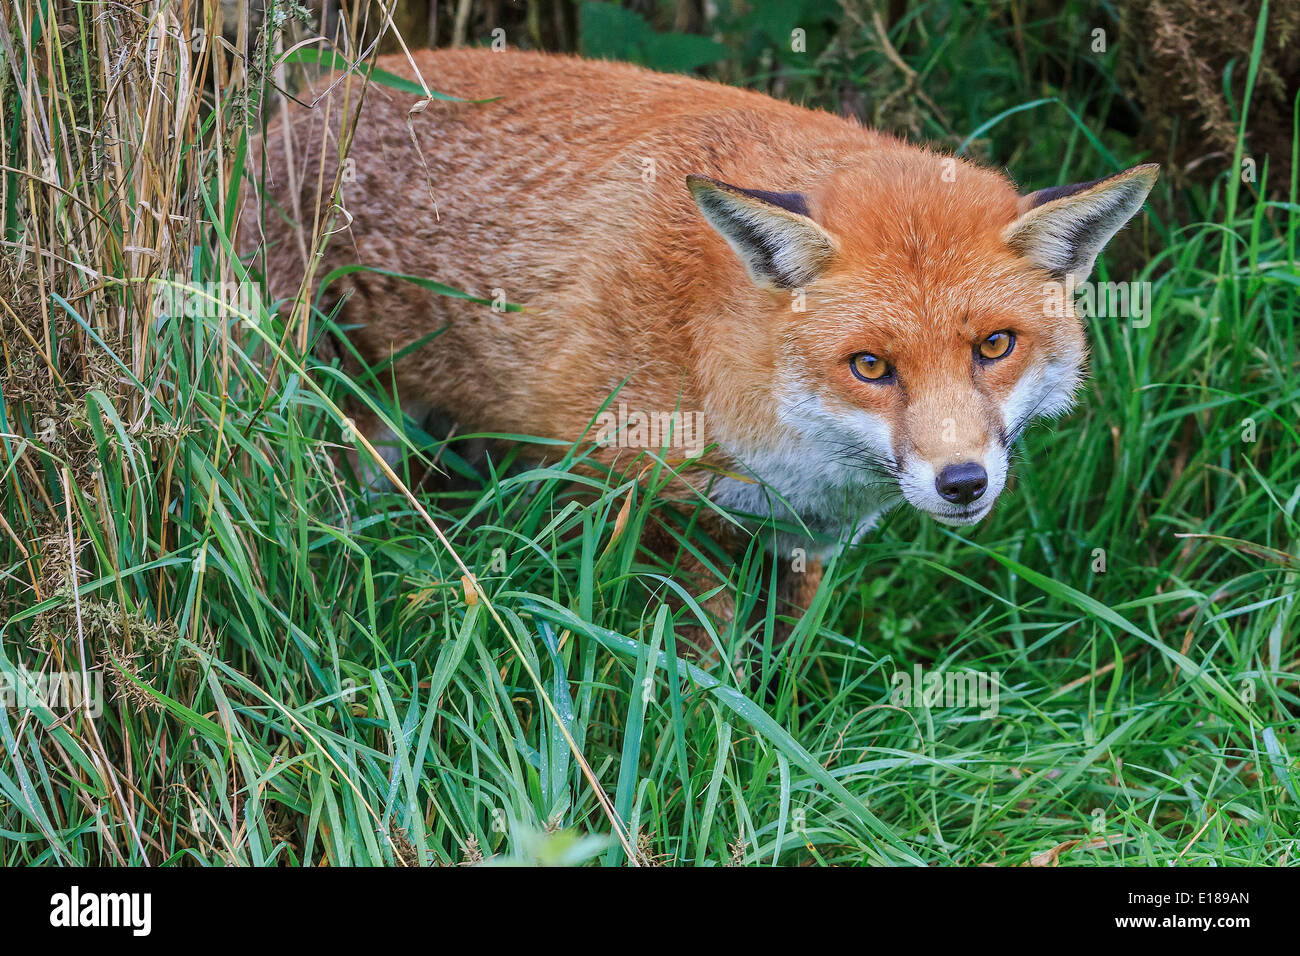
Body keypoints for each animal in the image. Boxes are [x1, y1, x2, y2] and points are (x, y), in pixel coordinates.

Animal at [244, 44, 1159, 647]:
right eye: (870, 366)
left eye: (995, 346)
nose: (962, 482)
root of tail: (297, 103)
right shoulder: (654, 501)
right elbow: (705, 672)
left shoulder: (802, 540)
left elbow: (786, 671)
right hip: (334, 419)